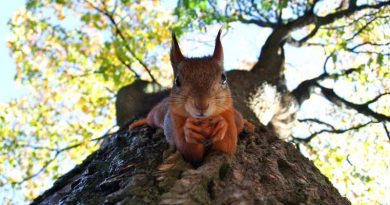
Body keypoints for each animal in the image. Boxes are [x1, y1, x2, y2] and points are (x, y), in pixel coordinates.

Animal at [129, 29, 254, 163]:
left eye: (224, 78)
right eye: (177, 81)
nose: (201, 105)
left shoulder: (228, 115)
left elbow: (227, 145)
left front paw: (222, 125)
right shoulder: (175, 122)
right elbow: (189, 152)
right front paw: (189, 130)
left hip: (237, 117)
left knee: (240, 120)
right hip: (157, 115)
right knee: (150, 119)